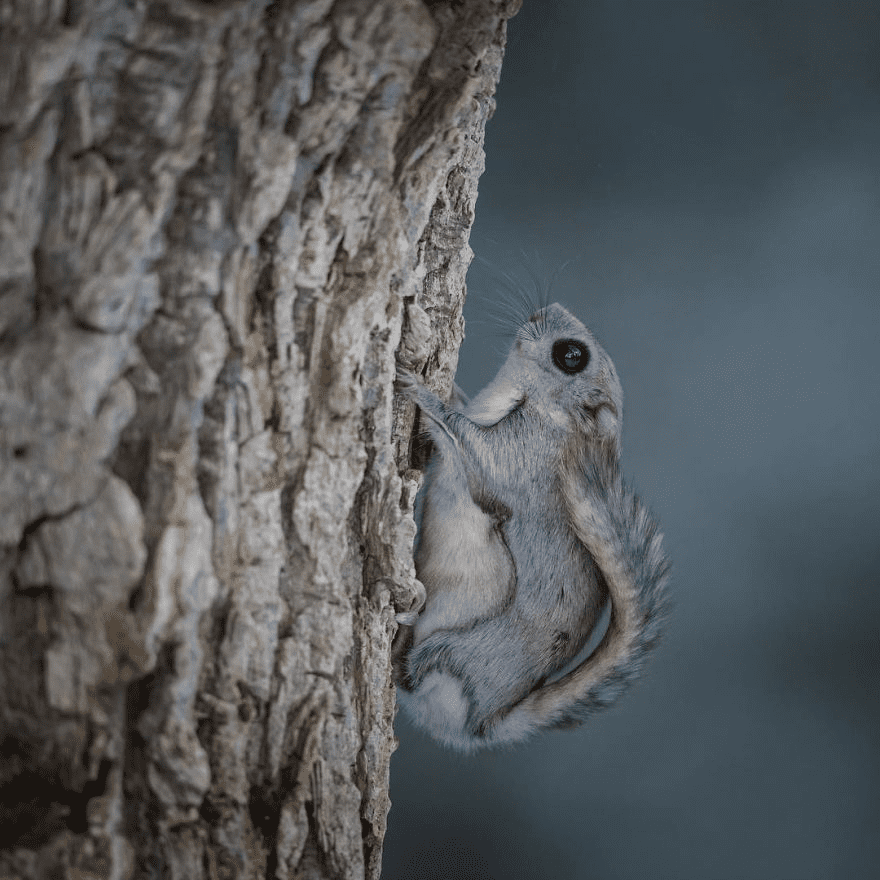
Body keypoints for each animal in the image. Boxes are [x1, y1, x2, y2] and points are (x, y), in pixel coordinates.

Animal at [396, 300, 672, 748]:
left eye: (571, 355)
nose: (545, 310)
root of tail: (483, 723)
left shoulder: (517, 457)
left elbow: (466, 441)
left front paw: (417, 388)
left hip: (457, 653)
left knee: (413, 674)